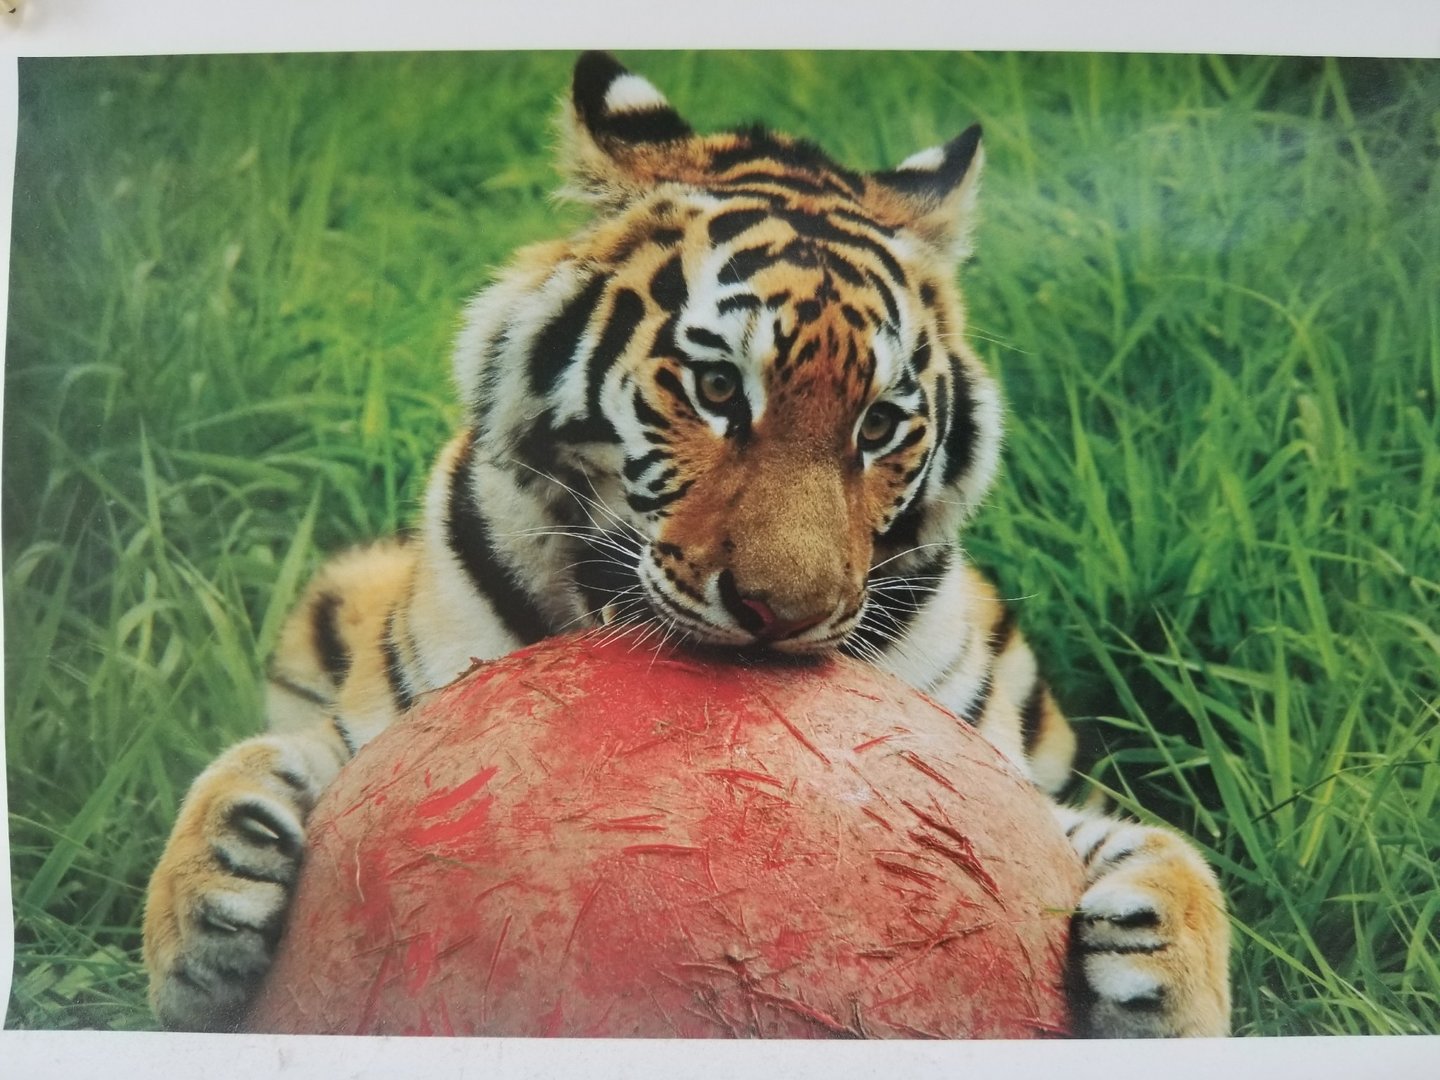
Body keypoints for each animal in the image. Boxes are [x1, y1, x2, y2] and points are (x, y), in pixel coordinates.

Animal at [142, 51, 1230, 1037]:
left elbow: (1158, 850)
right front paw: (209, 894)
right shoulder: (378, 721)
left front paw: (1170, 976)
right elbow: (252, 761)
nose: (782, 615)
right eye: (716, 390)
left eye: (879, 425)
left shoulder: (1011, 774)